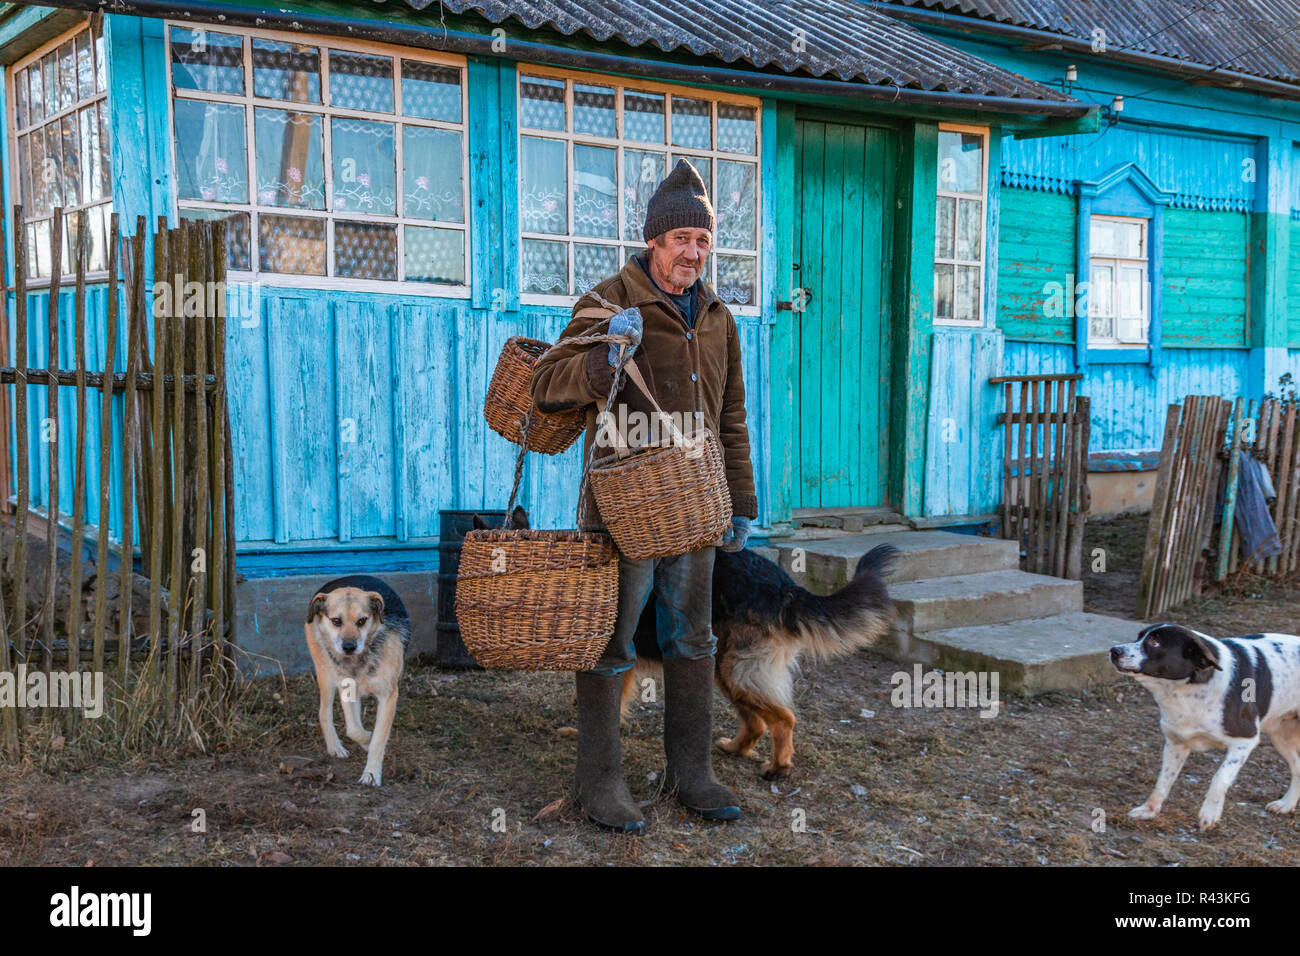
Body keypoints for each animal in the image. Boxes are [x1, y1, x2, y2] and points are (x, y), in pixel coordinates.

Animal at [302, 574, 408, 785]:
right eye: (336, 621)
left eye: (362, 621)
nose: (349, 647)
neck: (358, 661)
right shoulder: (347, 690)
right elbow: (354, 730)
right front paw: (368, 740)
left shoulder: (389, 696)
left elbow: (376, 738)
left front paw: (371, 774)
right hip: (326, 675)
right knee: (324, 712)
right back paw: (335, 747)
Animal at [1112, 629, 1300, 832]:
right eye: (1139, 636)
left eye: (1155, 642)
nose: (1114, 650)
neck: (1186, 689)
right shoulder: (1176, 743)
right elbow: (1163, 780)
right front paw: (1149, 809)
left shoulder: (1245, 741)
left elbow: (1220, 778)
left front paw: (1210, 813)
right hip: (1281, 737)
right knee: (1298, 768)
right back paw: (1286, 804)